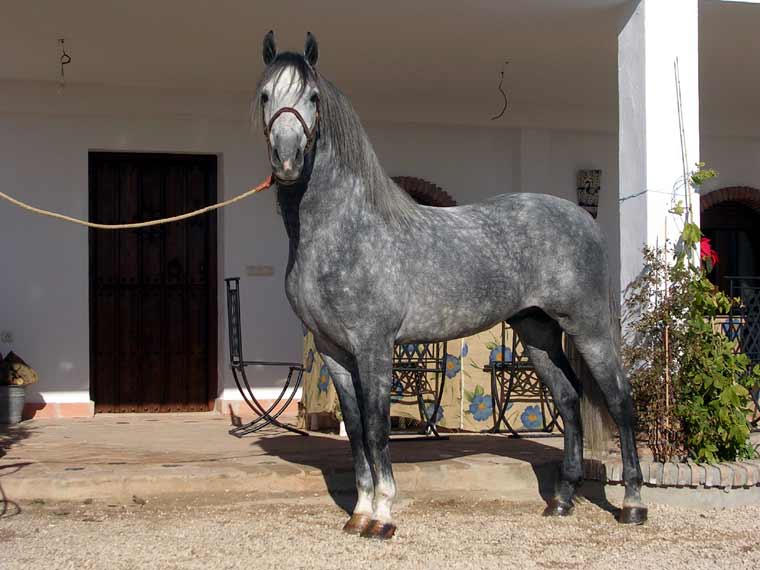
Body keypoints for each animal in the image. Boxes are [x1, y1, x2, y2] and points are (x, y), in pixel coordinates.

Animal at [256, 31, 648, 536]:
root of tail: (584, 219)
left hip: (589, 328)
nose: (287, 159)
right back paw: (561, 500)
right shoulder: (334, 352)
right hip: (537, 332)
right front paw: (359, 514)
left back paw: (633, 504)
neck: (343, 230)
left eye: (313, 97)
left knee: (619, 401)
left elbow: (378, 429)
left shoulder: (374, 346)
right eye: (265, 95)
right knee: (567, 398)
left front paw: (382, 517)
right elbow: (357, 430)